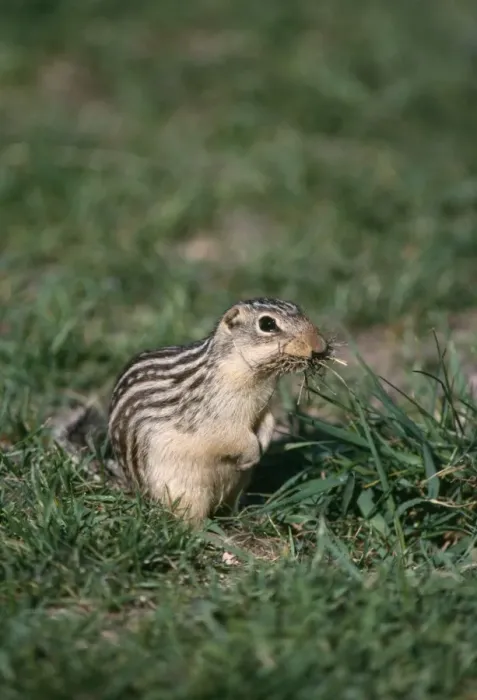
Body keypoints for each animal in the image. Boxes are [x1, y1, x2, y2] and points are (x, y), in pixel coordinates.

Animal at [52, 297, 332, 525]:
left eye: (299, 309)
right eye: (267, 324)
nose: (320, 346)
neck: (255, 378)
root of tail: (136, 490)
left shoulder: (263, 408)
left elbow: (267, 423)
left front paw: (263, 444)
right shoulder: (213, 417)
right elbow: (232, 436)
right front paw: (252, 453)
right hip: (185, 490)